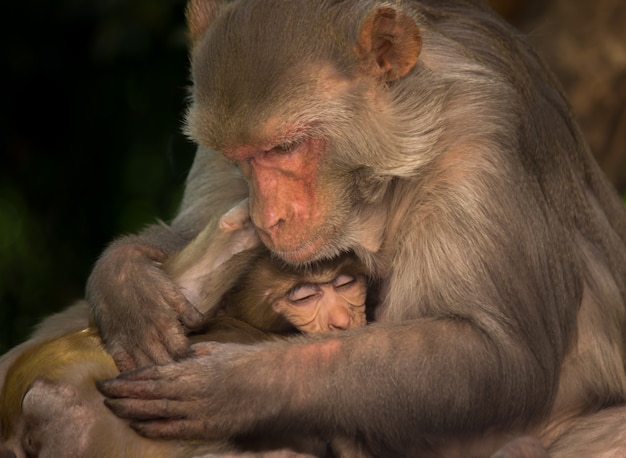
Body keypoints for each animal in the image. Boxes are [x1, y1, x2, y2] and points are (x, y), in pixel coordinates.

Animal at [91, 0, 624, 456]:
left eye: (284, 148)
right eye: (242, 156)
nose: (268, 218)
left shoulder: (478, 142)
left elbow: (500, 356)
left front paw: (239, 385)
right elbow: (196, 234)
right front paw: (124, 284)